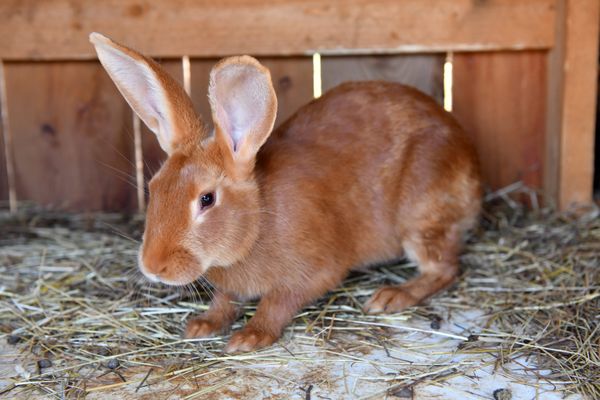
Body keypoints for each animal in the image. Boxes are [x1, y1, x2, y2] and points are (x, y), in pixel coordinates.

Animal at [90, 33, 482, 354]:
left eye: (206, 199)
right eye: (153, 188)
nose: (153, 267)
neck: (257, 221)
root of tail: (470, 158)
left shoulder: (316, 270)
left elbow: (279, 301)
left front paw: (250, 336)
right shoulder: (231, 287)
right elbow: (224, 300)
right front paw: (202, 325)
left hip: (421, 217)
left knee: (445, 267)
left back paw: (390, 296)